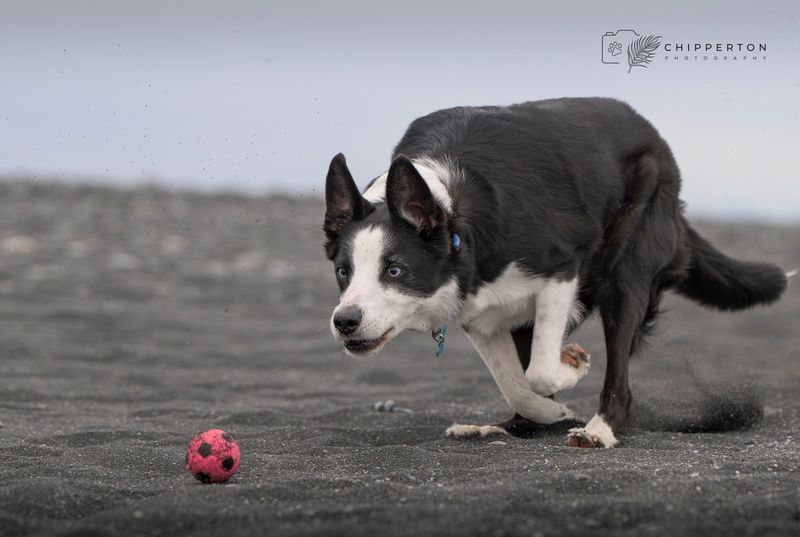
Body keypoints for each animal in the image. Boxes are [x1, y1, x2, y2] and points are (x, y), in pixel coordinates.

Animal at [322, 97, 792, 448]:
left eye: (395, 270)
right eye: (343, 272)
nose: (344, 322)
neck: (454, 213)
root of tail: (654, 136)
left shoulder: (561, 270)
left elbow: (540, 372)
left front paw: (573, 371)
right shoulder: (478, 311)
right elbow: (516, 381)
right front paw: (548, 411)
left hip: (625, 269)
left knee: (617, 373)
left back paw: (599, 429)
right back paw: (509, 427)